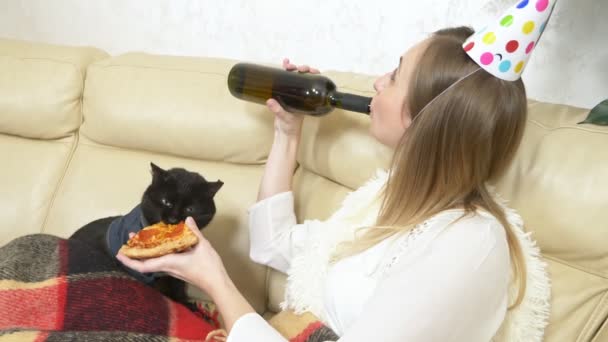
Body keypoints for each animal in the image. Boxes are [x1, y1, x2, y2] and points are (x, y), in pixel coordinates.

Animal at [71, 163, 223, 308]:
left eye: (189, 209)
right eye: (166, 202)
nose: (173, 219)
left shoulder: (173, 278)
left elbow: (178, 288)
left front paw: (187, 305)